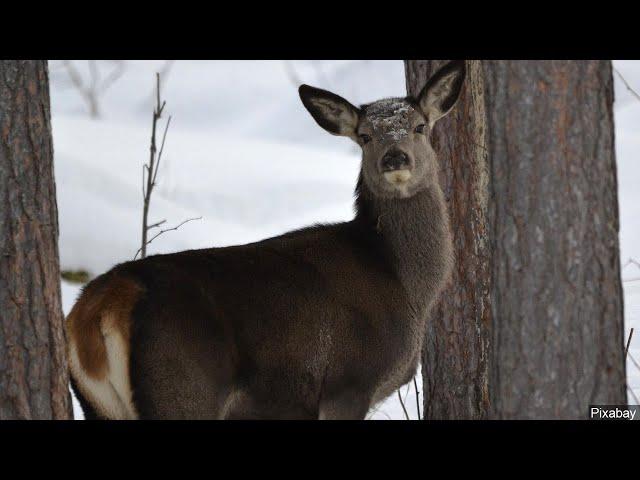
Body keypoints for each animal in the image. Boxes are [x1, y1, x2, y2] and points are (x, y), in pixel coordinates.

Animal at [66, 61, 464, 420]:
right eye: (365, 136)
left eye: (419, 126)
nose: (395, 158)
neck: (403, 283)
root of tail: (98, 307)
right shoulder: (347, 382)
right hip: (180, 387)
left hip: (100, 405)